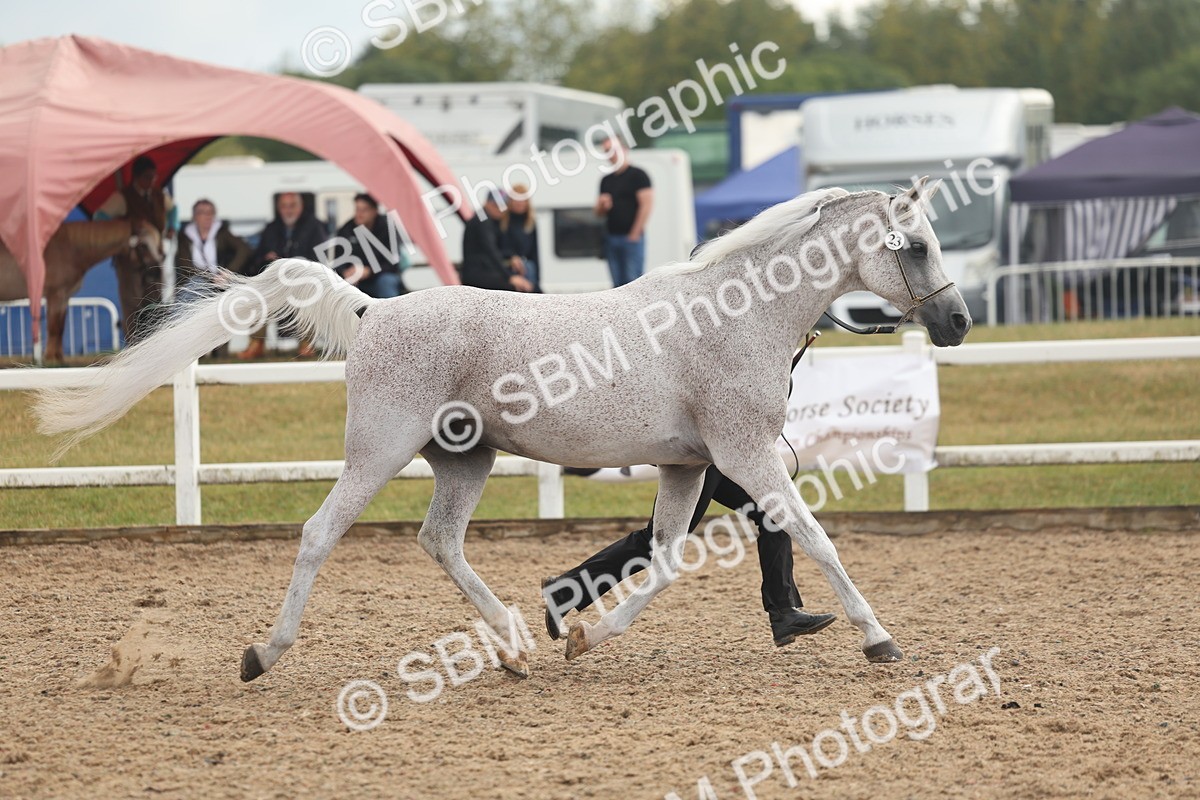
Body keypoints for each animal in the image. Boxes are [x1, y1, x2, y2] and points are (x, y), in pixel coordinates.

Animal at [0, 218, 163, 362]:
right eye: (143, 245)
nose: (156, 271)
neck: (69, 249)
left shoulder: (65, 297)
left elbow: (60, 327)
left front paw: (58, 358)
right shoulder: (55, 294)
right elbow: (53, 326)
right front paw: (51, 359)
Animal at [33, 178, 970, 682]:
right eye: (915, 245)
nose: (959, 323)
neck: (732, 316)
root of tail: (373, 310)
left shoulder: (688, 467)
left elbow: (668, 559)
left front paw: (584, 634)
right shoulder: (745, 455)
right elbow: (814, 539)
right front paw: (879, 640)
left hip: (465, 459)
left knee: (439, 541)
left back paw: (519, 647)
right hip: (380, 450)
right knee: (320, 532)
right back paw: (265, 653)